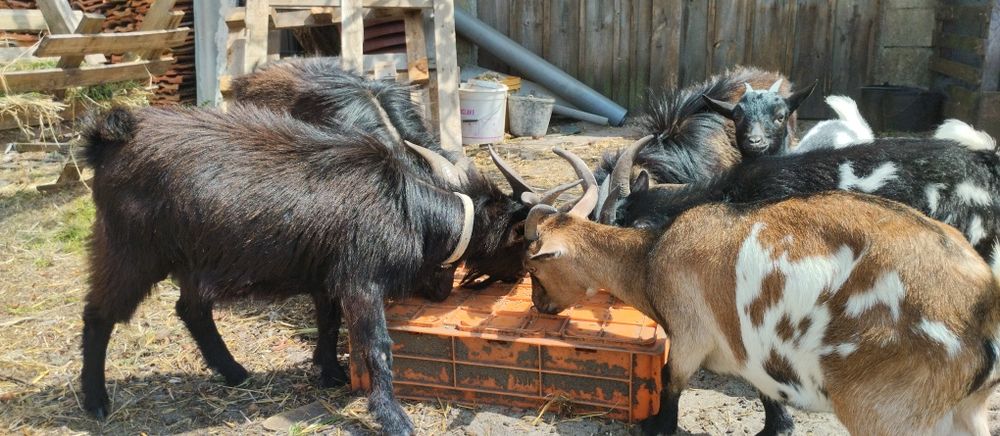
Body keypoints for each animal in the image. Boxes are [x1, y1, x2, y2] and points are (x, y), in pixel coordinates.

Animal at [78, 105, 579, 433]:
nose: (516, 282)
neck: (408, 206)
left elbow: (328, 321)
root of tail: (111, 139)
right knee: (99, 315)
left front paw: (330, 373)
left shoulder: (328, 275)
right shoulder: (362, 280)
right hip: (130, 252)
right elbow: (375, 346)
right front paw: (392, 417)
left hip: (192, 261)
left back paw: (235, 372)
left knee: (191, 310)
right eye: (522, 243)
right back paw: (96, 400)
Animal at [525, 149, 1000, 435]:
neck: (651, 258)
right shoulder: (752, 350)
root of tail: (981, 308)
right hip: (963, 411)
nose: (539, 304)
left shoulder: (689, 337)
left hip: (887, 412)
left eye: (534, 265)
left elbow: (670, 396)